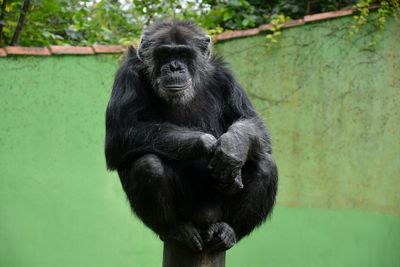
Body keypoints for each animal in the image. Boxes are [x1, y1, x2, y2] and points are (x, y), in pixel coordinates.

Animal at [104, 21, 276, 253]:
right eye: (165, 54)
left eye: (184, 54)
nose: (175, 67)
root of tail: (205, 221)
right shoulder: (127, 75)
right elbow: (120, 135)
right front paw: (207, 144)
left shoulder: (226, 77)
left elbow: (253, 122)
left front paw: (232, 147)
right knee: (148, 164)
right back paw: (176, 230)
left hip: (219, 213)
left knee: (266, 165)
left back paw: (229, 231)